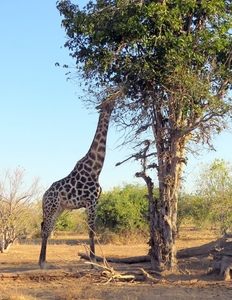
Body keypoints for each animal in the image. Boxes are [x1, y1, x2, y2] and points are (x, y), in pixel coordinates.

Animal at [39, 98, 115, 268]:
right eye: (107, 100)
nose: (116, 96)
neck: (96, 168)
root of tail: (43, 197)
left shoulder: (93, 201)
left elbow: (91, 230)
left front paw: (94, 261)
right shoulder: (91, 200)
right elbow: (92, 230)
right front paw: (94, 263)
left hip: (58, 209)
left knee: (46, 228)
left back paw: (42, 261)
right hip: (51, 208)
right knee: (46, 229)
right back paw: (42, 263)